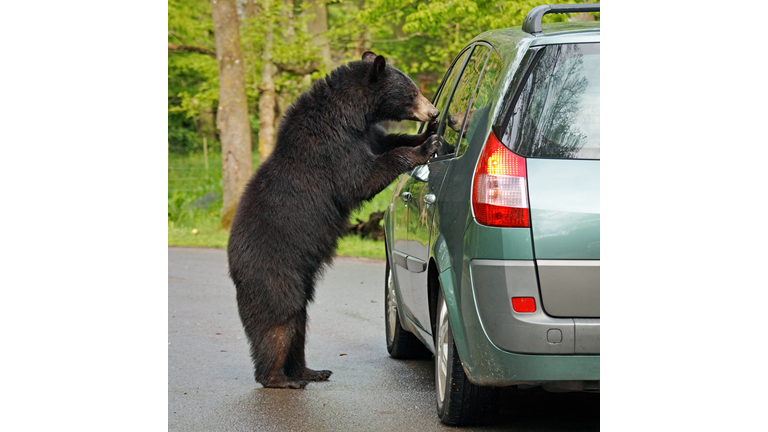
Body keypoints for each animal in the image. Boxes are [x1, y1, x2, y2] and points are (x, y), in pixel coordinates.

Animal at [227, 51, 440, 389]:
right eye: (411, 92)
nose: (433, 111)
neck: (350, 116)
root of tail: (232, 264)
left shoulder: (367, 133)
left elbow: (388, 140)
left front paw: (426, 134)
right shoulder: (331, 147)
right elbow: (361, 178)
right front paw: (424, 146)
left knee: (299, 324)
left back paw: (310, 371)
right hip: (273, 272)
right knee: (280, 320)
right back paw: (279, 378)